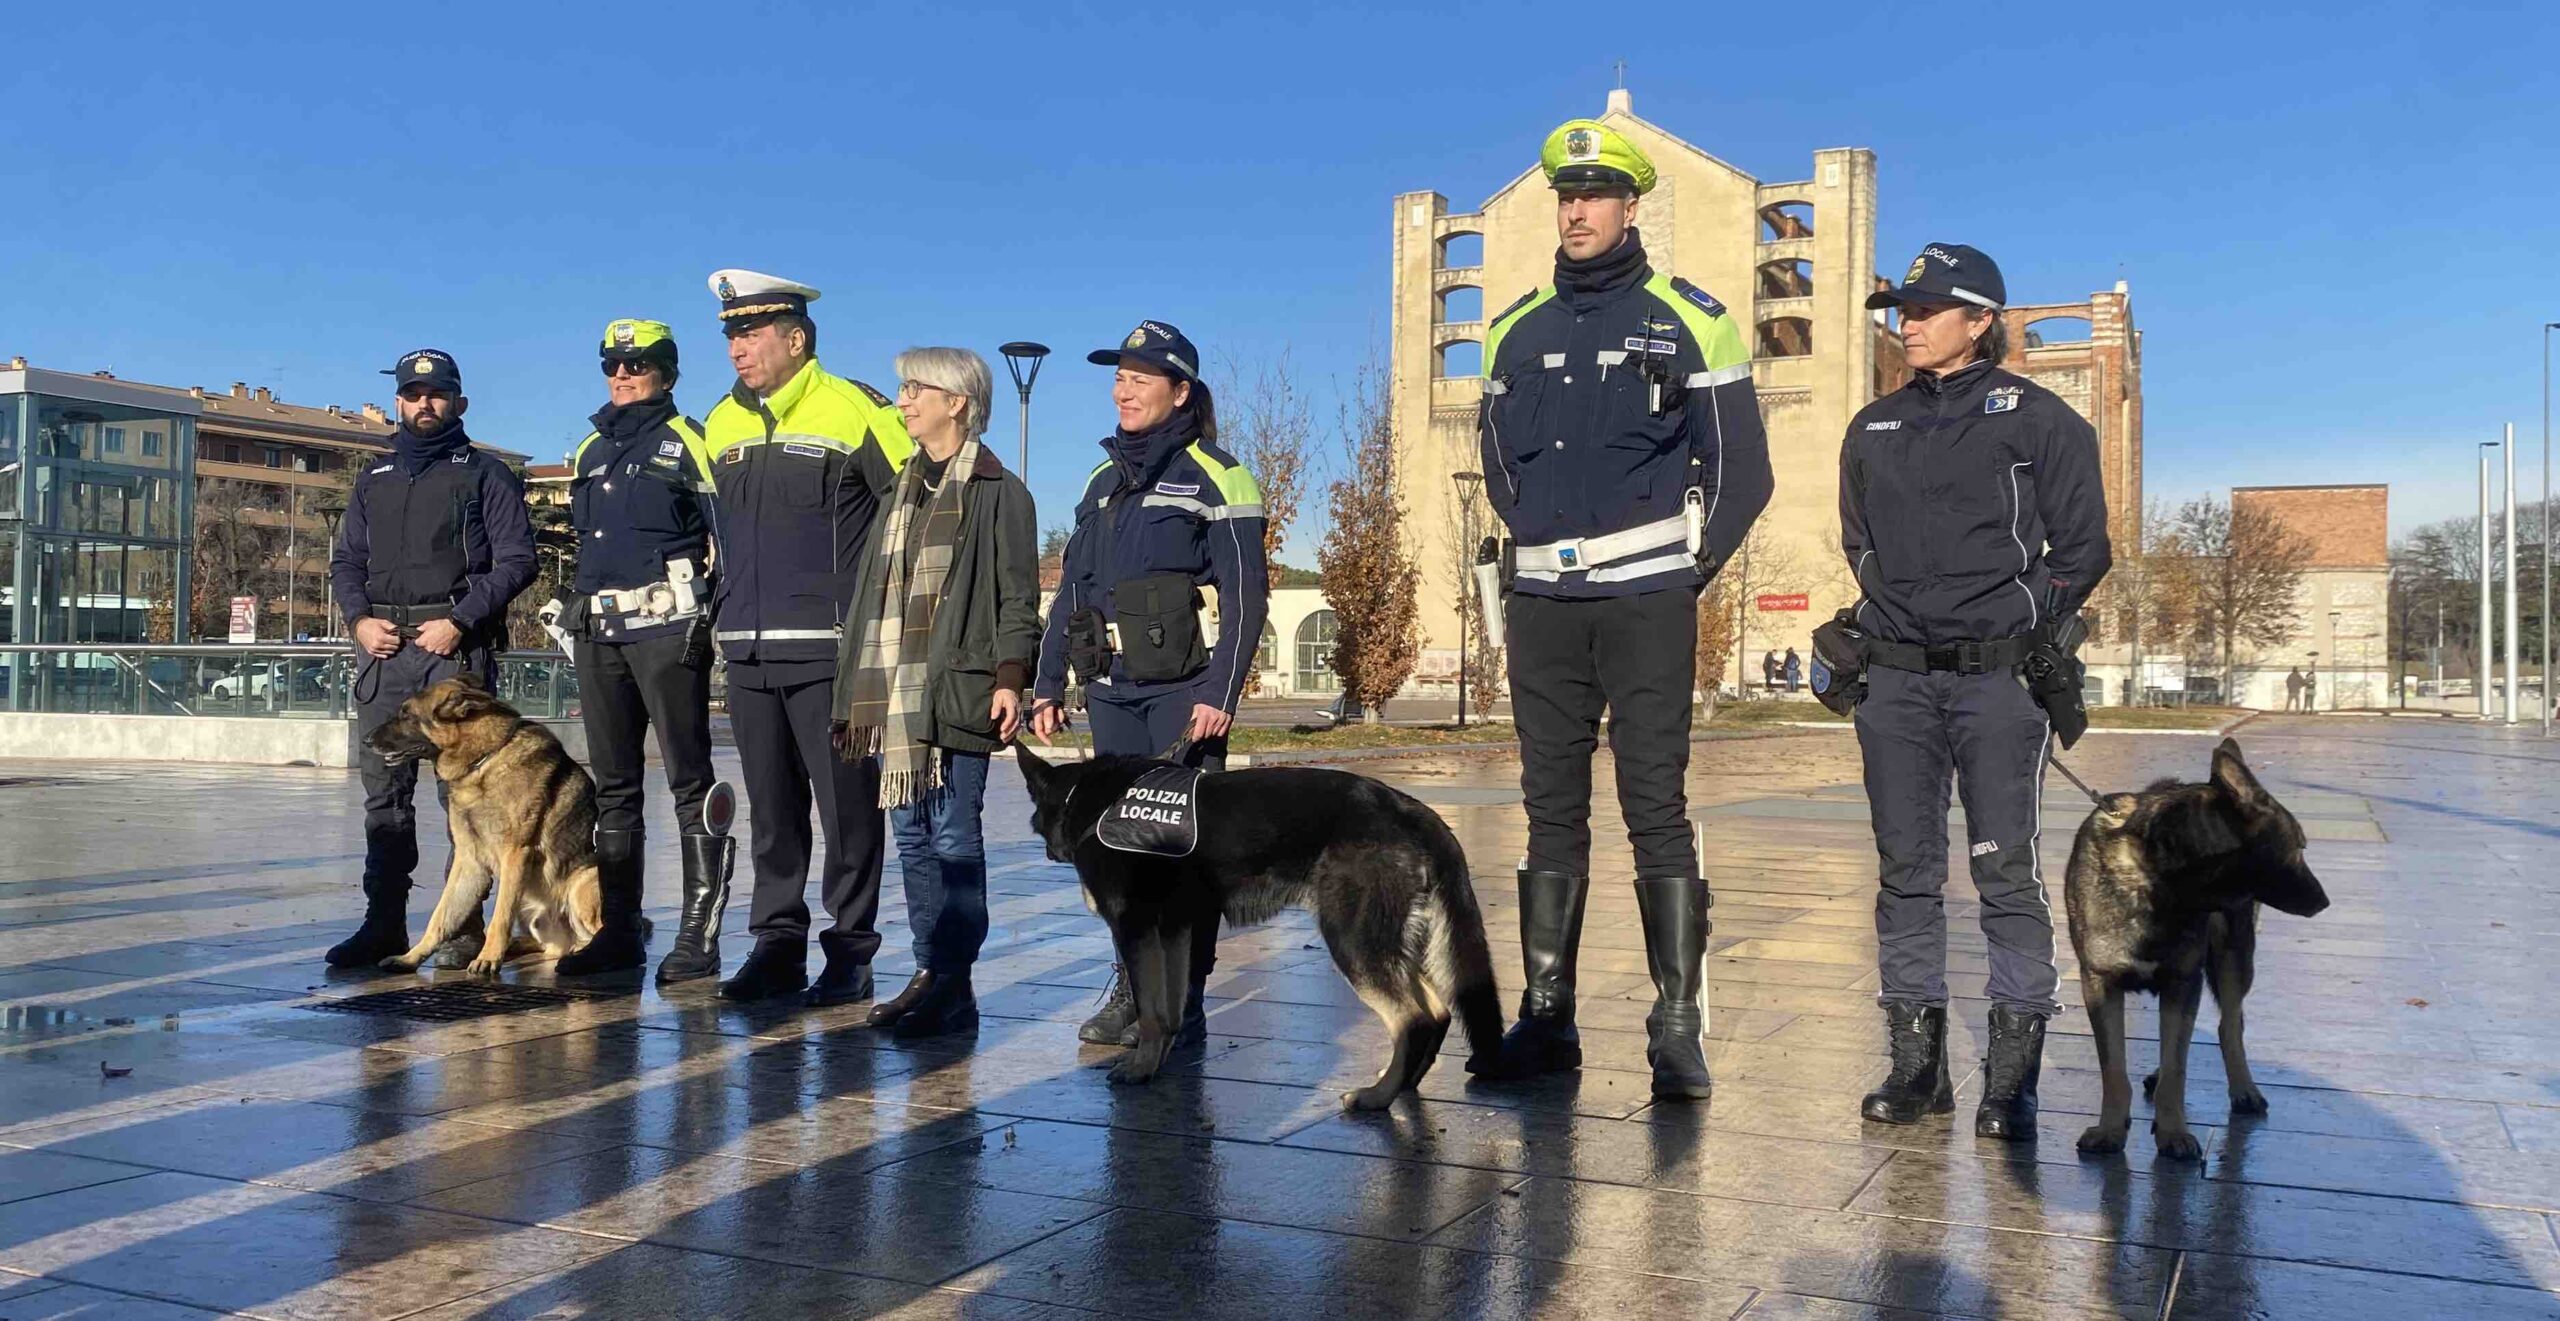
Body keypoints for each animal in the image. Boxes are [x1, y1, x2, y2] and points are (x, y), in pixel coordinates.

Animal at [366, 675, 609, 972]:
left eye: (407, 715)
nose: (366, 740)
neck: (485, 759)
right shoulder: (468, 861)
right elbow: (440, 917)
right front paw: (411, 957)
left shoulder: (515, 856)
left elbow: (499, 918)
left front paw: (488, 957)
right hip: (530, 908)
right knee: (552, 947)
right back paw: (520, 945)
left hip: (582, 885)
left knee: (595, 934)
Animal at [1013, 747, 1505, 1111]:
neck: (1085, 799)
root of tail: (1412, 810)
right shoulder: (1174, 932)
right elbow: (1169, 1011)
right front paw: (1159, 1061)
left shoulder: (1137, 931)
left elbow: (1151, 1013)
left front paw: (1140, 1068)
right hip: (1386, 944)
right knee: (1436, 1011)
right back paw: (1404, 1085)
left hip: (1351, 942)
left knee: (1412, 1017)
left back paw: (1377, 1097)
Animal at [2068, 737, 2334, 1162]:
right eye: (2299, 847)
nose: (2324, 901)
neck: (2158, 877)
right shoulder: (2100, 985)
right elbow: (2114, 1069)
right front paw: (2110, 1129)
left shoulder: (2183, 982)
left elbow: (2177, 1069)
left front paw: (2173, 1132)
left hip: (2234, 959)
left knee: (2230, 1023)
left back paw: (2244, 1089)